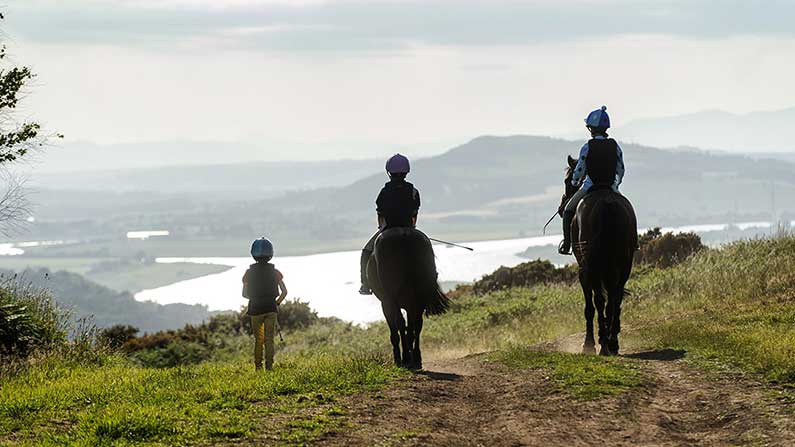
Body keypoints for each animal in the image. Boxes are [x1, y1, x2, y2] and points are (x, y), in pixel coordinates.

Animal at [366, 229, 448, 370]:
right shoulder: (411, 305)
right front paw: (411, 356)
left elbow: (396, 329)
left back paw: (405, 358)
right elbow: (411, 327)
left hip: (392, 298)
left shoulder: (386, 303)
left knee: (401, 323)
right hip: (418, 298)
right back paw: (416, 358)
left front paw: (400, 358)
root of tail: (404, 235)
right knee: (417, 325)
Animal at [564, 158, 636, 356]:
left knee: (600, 300)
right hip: (624, 264)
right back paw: (612, 342)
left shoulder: (584, 271)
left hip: (594, 267)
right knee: (615, 297)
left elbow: (589, 307)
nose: (561, 207)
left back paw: (603, 344)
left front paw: (588, 344)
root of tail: (608, 205)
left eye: (567, 181)